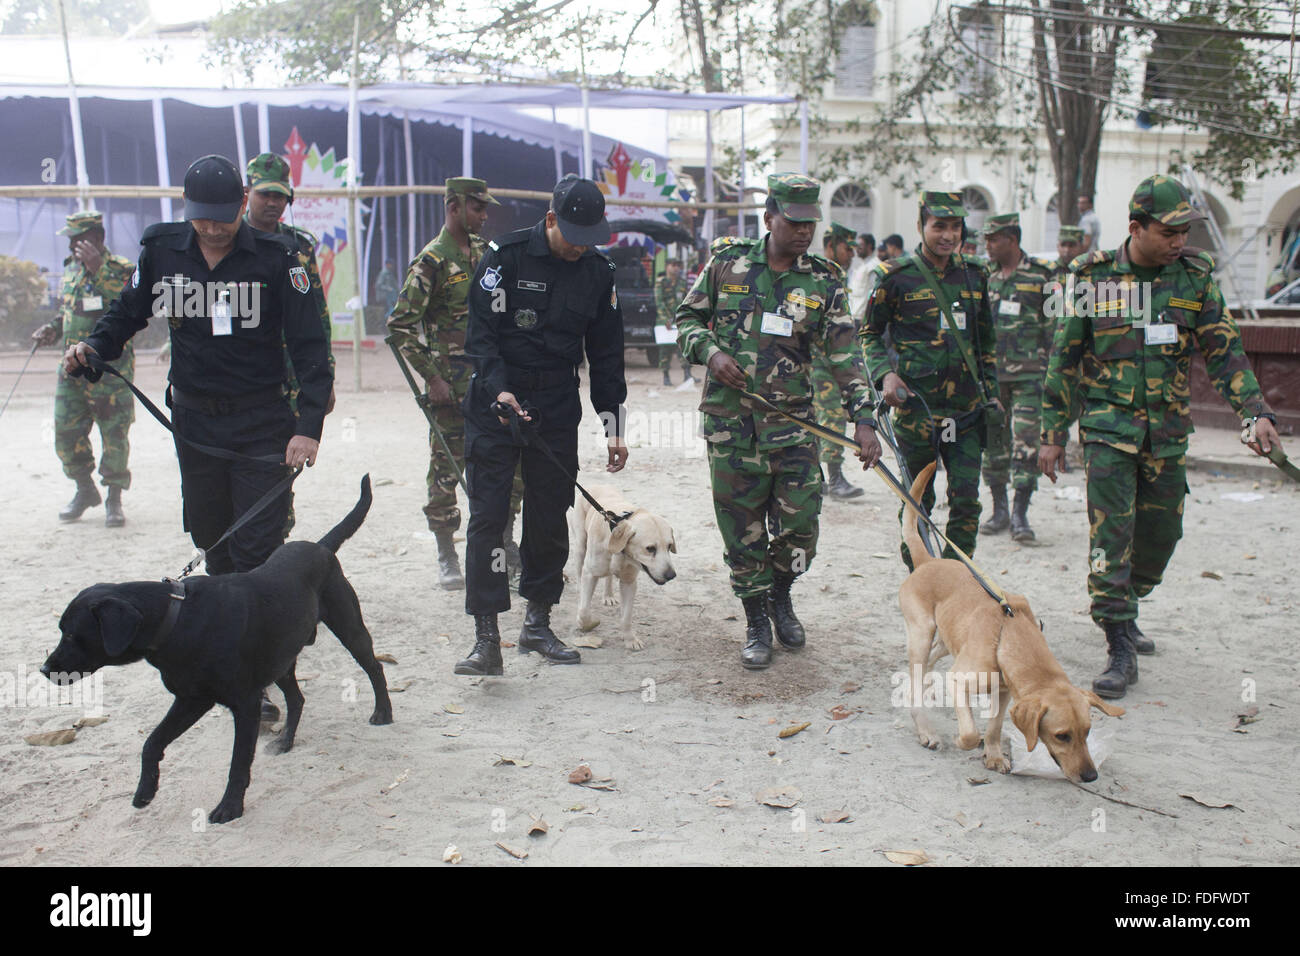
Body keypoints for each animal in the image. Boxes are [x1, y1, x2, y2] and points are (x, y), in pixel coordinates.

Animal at [43, 476, 392, 827]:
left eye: (71, 634)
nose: (44, 670)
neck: (177, 620)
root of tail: (320, 546)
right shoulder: (192, 699)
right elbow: (151, 742)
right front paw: (146, 790)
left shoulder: (245, 704)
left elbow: (238, 763)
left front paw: (230, 807)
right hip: (280, 659)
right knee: (297, 699)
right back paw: (285, 741)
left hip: (349, 628)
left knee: (374, 668)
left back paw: (383, 713)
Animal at [574, 486, 686, 650]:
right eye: (650, 548)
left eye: (669, 546)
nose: (671, 575)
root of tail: (596, 485)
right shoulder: (589, 574)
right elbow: (584, 611)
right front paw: (587, 624)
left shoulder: (629, 583)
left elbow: (626, 617)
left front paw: (630, 639)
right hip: (580, 545)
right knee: (579, 571)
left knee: (608, 576)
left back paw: (608, 596)